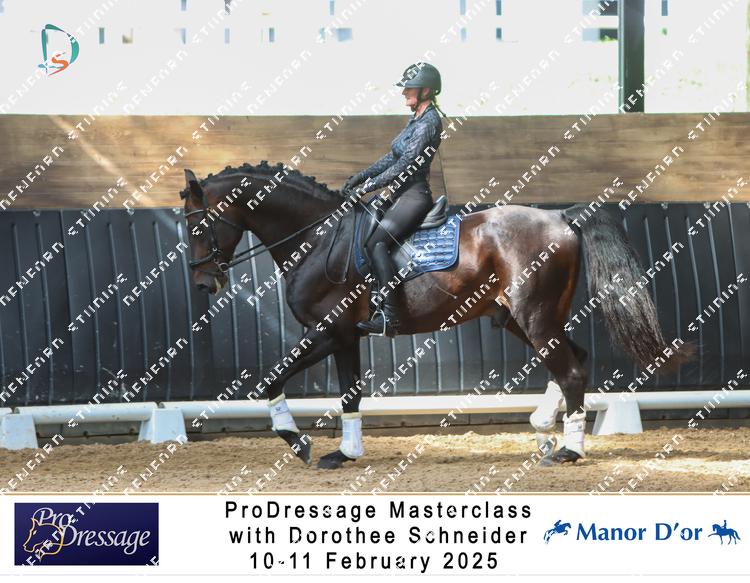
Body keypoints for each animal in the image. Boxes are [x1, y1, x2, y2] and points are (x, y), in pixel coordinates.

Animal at [180, 161, 687, 470]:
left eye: (199, 224)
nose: (204, 284)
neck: (319, 238)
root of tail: (561, 217)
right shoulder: (345, 337)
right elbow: (350, 395)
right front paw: (344, 453)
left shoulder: (326, 332)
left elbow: (272, 381)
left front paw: (299, 441)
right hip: (525, 318)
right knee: (572, 362)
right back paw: (545, 430)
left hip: (535, 316)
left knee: (572, 371)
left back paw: (568, 450)